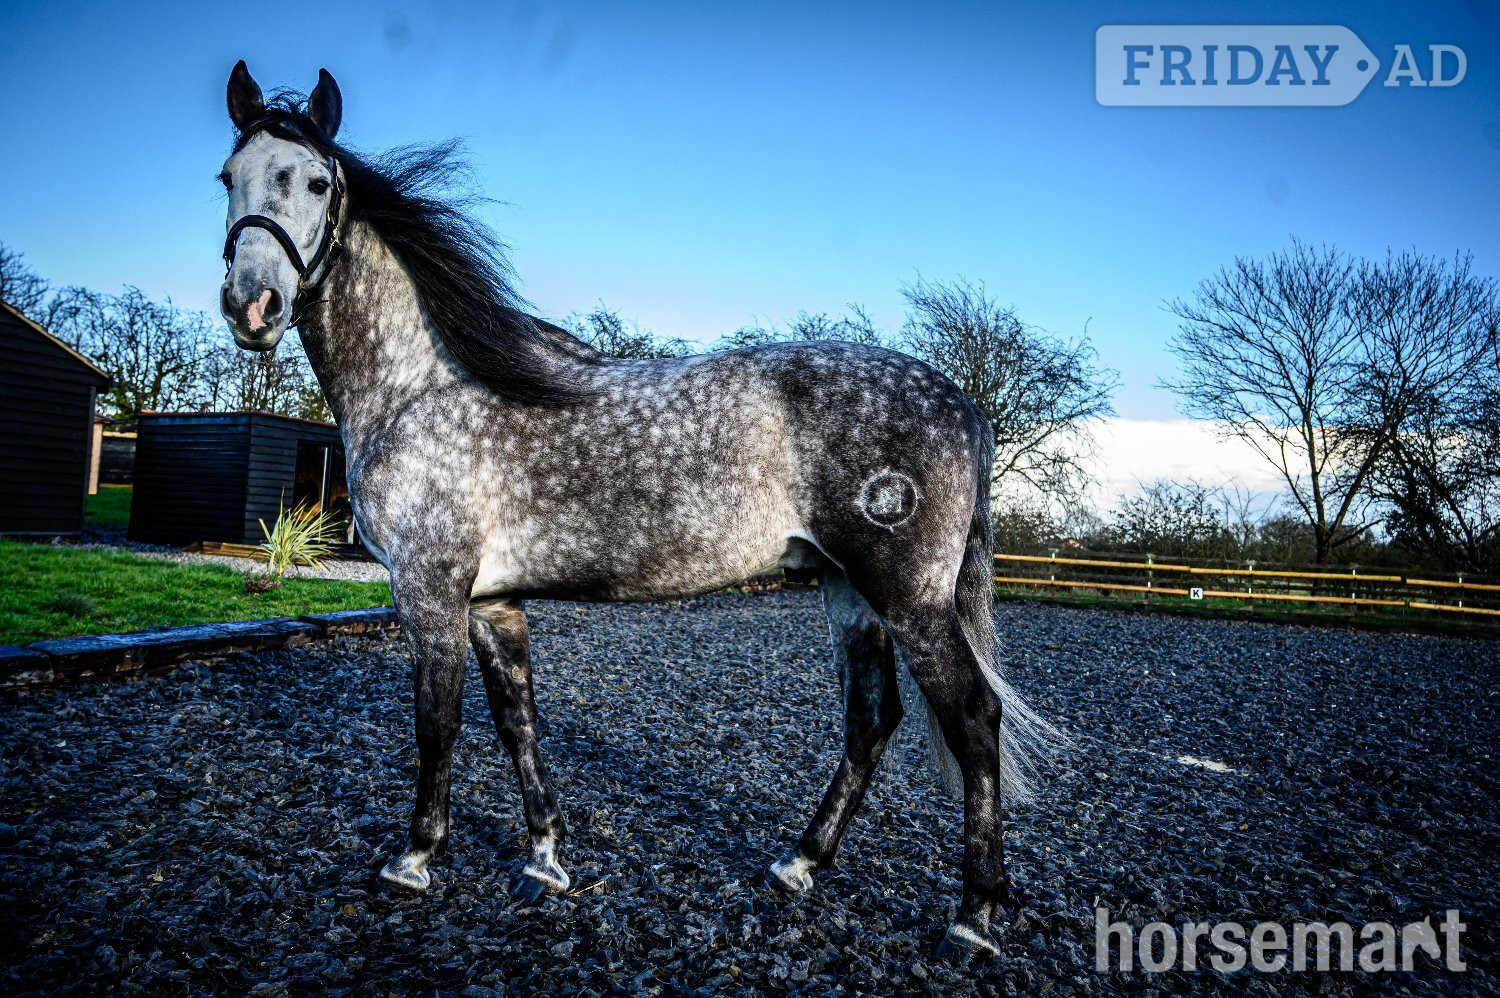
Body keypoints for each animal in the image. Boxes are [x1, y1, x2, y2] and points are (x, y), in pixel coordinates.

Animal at [216, 61, 1056, 962]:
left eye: (316, 181)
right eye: (228, 178)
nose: (252, 306)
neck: (422, 387)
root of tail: (964, 405)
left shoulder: (429, 590)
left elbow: (436, 721)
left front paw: (413, 859)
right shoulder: (491, 601)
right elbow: (517, 719)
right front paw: (544, 857)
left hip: (909, 596)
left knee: (972, 718)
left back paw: (973, 916)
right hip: (848, 591)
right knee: (871, 719)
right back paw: (800, 863)